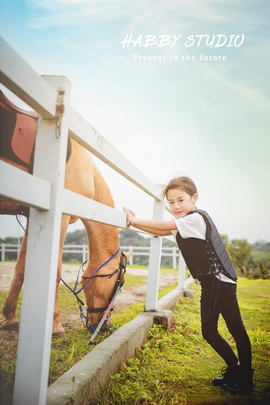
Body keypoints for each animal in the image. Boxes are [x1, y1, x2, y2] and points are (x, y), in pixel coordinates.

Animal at [0, 90, 131, 336]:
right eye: (117, 284)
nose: (106, 326)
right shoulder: (58, 217)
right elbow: (55, 269)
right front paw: (55, 326)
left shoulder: (32, 215)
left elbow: (21, 268)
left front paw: (10, 318)